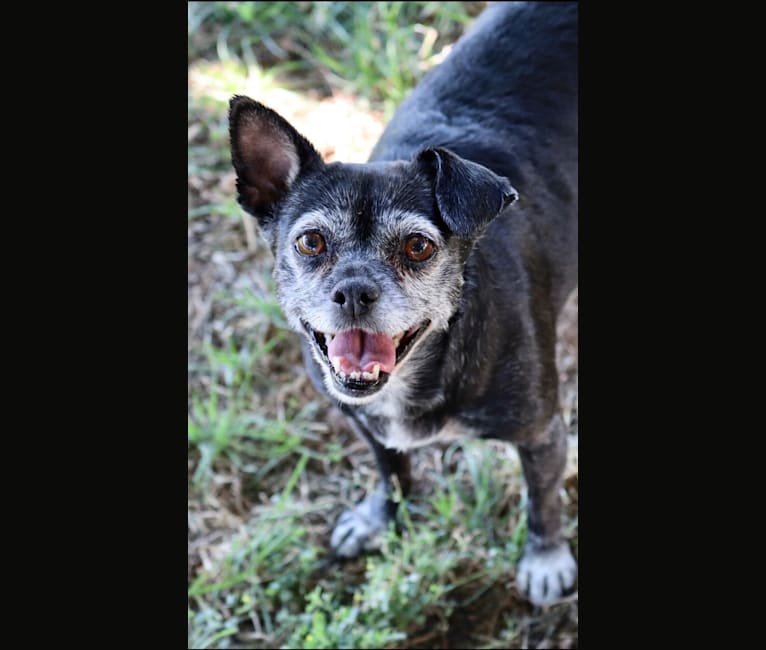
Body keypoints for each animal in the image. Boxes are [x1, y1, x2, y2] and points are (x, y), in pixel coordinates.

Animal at [231, 2, 580, 604]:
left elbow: (544, 498)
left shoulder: (542, 432)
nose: (353, 290)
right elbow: (391, 470)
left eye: (418, 247)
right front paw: (380, 520)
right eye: (310, 242)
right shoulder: (366, 423)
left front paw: (546, 558)